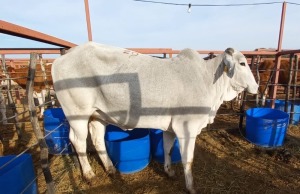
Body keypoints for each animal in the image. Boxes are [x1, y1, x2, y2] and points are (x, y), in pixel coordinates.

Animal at [51, 41, 258, 193]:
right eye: (242, 63)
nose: (256, 87)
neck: (208, 81)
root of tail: (61, 59)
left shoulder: (171, 127)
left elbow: (167, 148)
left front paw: (169, 171)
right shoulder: (187, 127)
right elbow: (188, 159)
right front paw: (191, 187)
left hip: (98, 114)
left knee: (97, 138)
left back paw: (110, 169)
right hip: (77, 113)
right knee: (77, 141)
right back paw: (89, 174)